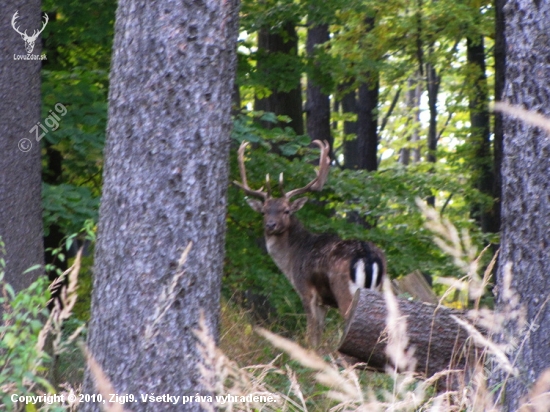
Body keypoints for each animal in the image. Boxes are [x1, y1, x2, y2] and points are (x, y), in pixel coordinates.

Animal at [234, 140, 388, 346]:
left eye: (286, 210)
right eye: (264, 211)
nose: (270, 225)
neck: (292, 259)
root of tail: (368, 256)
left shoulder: (306, 291)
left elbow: (311, 335)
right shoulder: (323, 302)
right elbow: (319, 336)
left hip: (346, 291)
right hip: (382, 289)